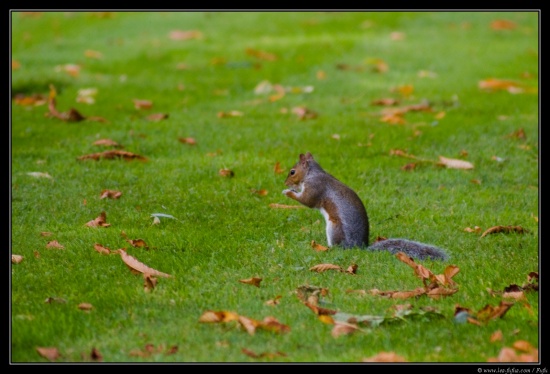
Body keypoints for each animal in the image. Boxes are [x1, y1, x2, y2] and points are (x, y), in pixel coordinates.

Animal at [282, 151, 450, 260]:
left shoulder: (315, 187)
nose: (285, 183)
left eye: (292, 172)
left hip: (334, 228)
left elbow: (307, 201)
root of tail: (359, 247)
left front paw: (288, 192)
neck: (312, 174)